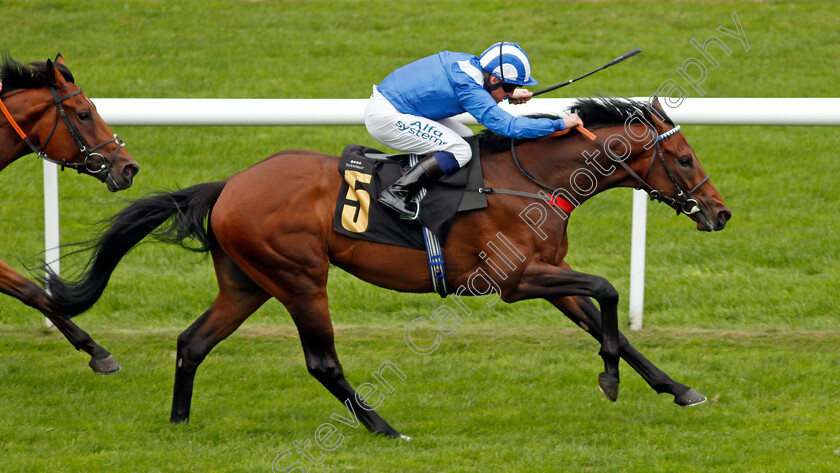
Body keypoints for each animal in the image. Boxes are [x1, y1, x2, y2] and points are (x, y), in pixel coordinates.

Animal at [44, 97, 728, 436]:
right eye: (685, 159)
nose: (720, 214)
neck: (532, 181)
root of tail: (230, 185)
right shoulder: (514, 282)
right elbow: (608, 289)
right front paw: (610, 380)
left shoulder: (547, 276)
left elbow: (606, 320)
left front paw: (677, 389)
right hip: (299, 277)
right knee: (321, 361)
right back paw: (382, 426)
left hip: (247, 284)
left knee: (192, 342)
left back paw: (179, 423)